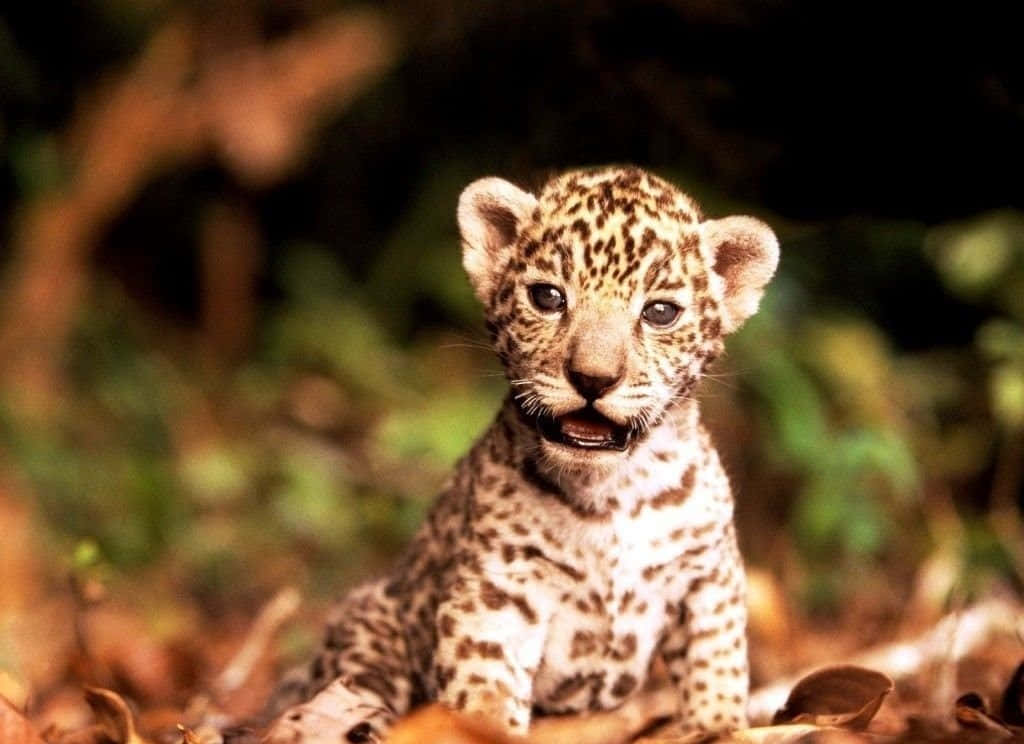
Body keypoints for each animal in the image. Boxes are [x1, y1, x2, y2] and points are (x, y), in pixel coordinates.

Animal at [263, 166, 779, 743]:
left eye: (660, 312)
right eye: (548, 297)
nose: (593, 378)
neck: (612, 493)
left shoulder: (707, 576)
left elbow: (716, 661)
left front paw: (719, 725)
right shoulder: (499, 588)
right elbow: (485, 680)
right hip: (367, 629)